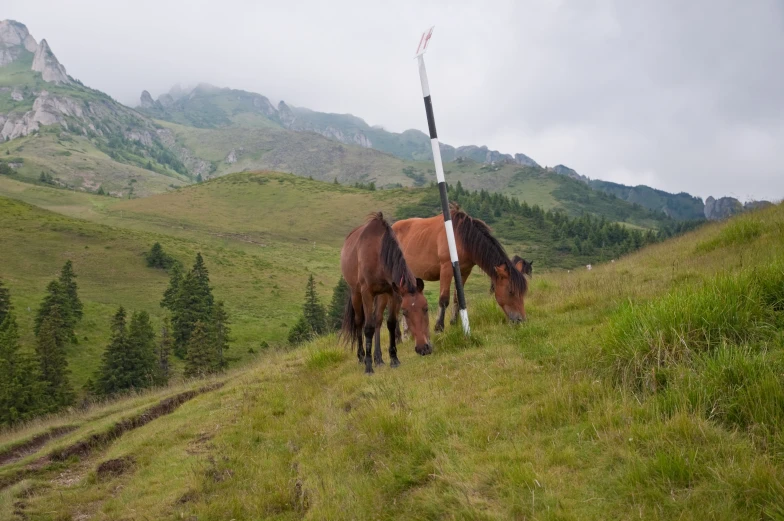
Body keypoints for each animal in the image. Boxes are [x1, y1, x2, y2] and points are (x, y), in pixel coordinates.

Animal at [340, 212, 432, 374]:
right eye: (405, 312)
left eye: (426, 308)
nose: (423, 348)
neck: (378, 252)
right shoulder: (367, 293)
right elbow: (368, 327)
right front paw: (368, 366)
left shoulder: (393, 292)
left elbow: (390, 323)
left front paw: (394, 359)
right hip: (356, 293)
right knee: (359, 322)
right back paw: (362, 357)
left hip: (381, 295)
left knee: (377, 320)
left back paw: (379, 359)